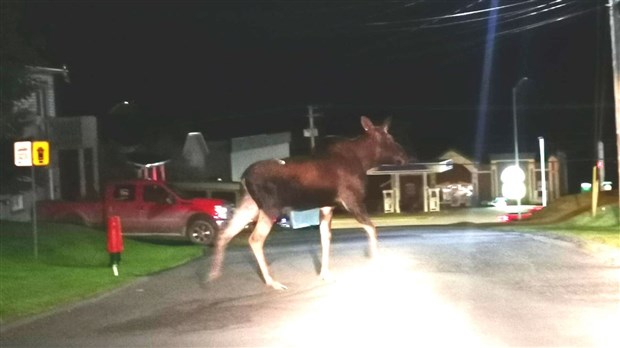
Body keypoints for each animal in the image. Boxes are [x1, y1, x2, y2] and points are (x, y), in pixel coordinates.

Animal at [211, 115, 410, 290]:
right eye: (390, 137)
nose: (405, 156)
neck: (364, 161)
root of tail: (244, 177)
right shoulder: (351, 200)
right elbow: (372, 228)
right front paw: (375, 261)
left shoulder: (327, 206)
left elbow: (325, 237)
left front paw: (324, 274)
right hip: (270, 207)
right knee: (255, 239)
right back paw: (272, 282)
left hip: (249, 205)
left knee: (225, 233)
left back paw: (213, 274)